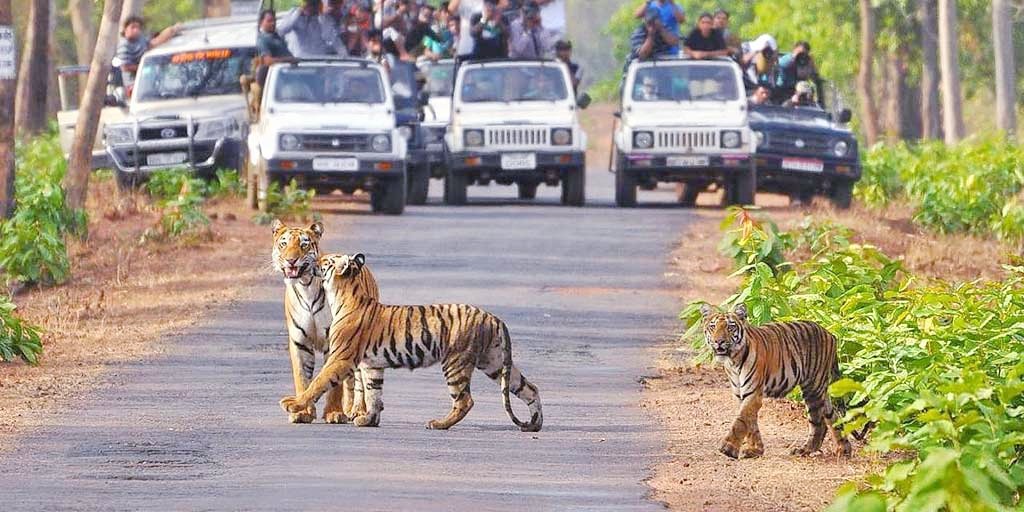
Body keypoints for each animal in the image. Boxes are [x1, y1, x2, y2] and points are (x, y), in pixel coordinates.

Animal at [272, 220, 380, 423]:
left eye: (304, 245)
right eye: (283, 244)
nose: (291, 260)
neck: (305, 286)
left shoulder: (335, 342)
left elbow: (334, 384)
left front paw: (334, 412)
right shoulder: (299, 342)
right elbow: (303, 378)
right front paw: (303, 412)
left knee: (359, 381)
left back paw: (358, 411)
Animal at [276, 252, 540, 432]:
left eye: (327, 261)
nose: (313, 260)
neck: (343, 294)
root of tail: (493, 317)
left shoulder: (340, 358)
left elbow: (318, 383)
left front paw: (293, 404)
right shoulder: (372, 365)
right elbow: (373, 393)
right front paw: (369, 420)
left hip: (456, 362)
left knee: (465, 400)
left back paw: (438, 423)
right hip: (494, 362)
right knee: (529, 388)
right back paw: (535, 423)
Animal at [700, 301, 851, 458]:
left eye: (730, 327)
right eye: (713, 327)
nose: (719, 341)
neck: (733, 361)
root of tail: (830, 334)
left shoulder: (753, 393)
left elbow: (741, 420)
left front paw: (728, 448)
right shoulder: (741, 394)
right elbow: (751, 422)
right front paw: (755, 449)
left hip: (812, 388)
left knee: (818, 422)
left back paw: (805, 449)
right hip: (820, 389)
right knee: (832, 415)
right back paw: (844, 449)